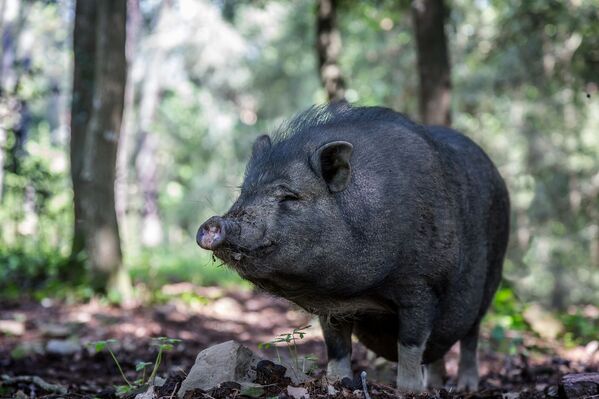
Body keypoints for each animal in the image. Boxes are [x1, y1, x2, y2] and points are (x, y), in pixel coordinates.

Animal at [197, 104, 510, 394]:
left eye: (289, 196)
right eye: (244, 192)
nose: (213, 223)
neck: (359, 292)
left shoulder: (421, 286)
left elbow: (410, 345)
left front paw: (409, 391)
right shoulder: (332, 308)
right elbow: (336, 347)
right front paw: (338, 382)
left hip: (491, 278)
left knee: (470, 335)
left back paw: (465, 387)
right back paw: (436, 385)